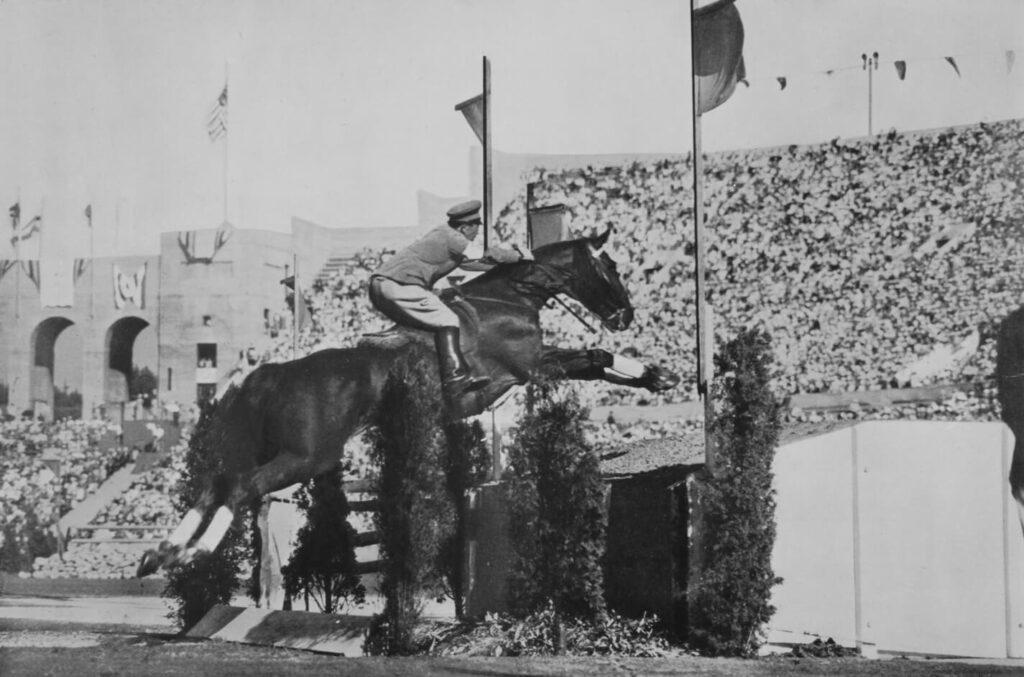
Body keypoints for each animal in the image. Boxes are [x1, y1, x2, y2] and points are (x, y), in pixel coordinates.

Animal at [136, 227, 679, 577]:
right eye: (610, 266)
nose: (627, 316)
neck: (510, 296)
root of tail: (266, 374)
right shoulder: (531, 367)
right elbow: (596, 355)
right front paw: (656, 372)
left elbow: (599, 360)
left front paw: (660, 376)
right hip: (306, 456)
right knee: (242, 487)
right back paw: (191, 555)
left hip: (275, 449)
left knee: (214, 485)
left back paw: (161, 554)